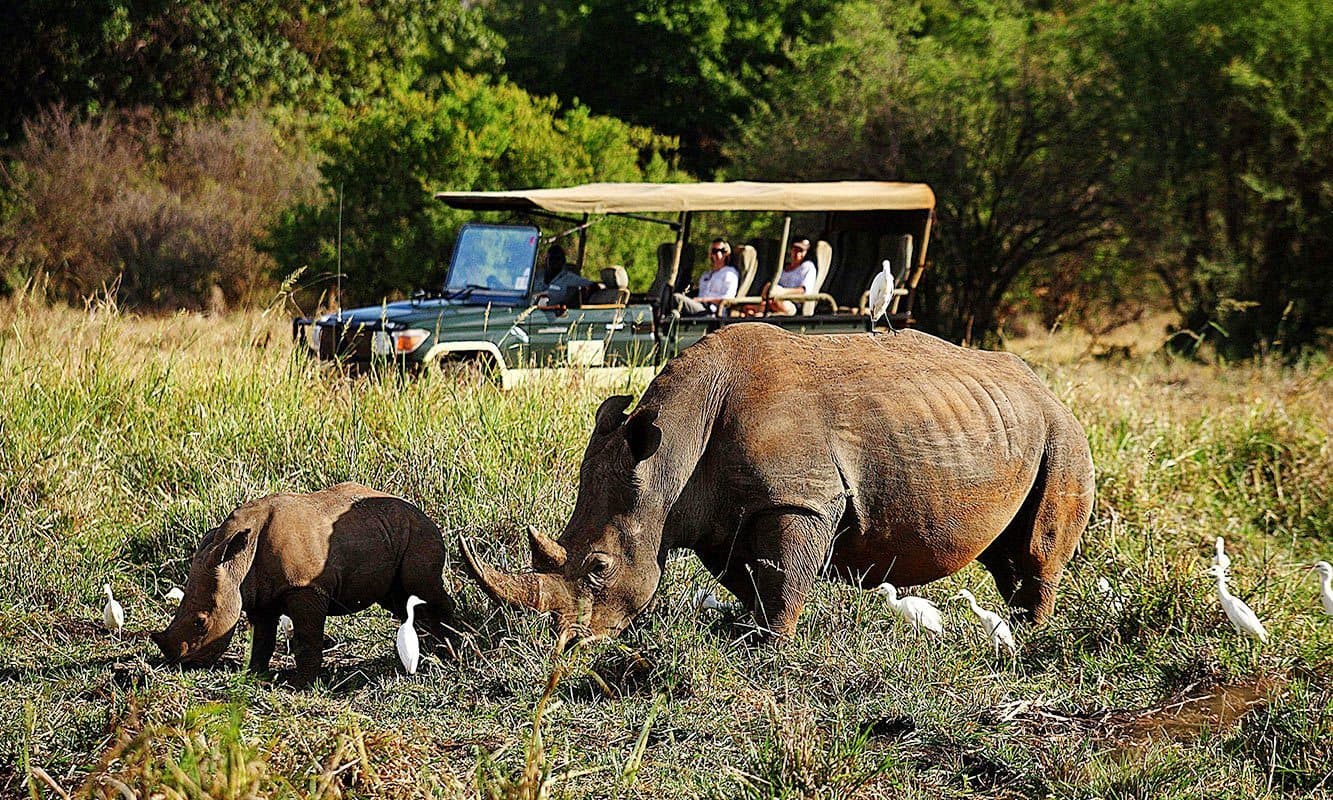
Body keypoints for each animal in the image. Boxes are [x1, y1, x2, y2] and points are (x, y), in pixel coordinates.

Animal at [152, 483, 457, 686]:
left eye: (201, 622)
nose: (179, 663)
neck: (237, 561)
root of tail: (424, 514)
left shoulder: (304, 587)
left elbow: (307, 638)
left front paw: (304, 685)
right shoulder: (258, 593)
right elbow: (262, 637)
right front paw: (255, 674)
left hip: (420, 534)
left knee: (422, 588)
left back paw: (449, 649)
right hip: (387, 533)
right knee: (400, 600)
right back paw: (433, 649)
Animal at [462, 324, 1095, 645]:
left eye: (598, 567)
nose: (564, 644)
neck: (670, 455)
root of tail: (1045, 386)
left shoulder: (798, 499)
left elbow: (785, 579)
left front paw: (774, 651)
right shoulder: (721, 514)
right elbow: (751, 578)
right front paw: (748, 632)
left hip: (1064, 435)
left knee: (1036, 548)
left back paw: (1031, 636)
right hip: (1009, 425)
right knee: (1005, 553)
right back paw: (1017, 625)